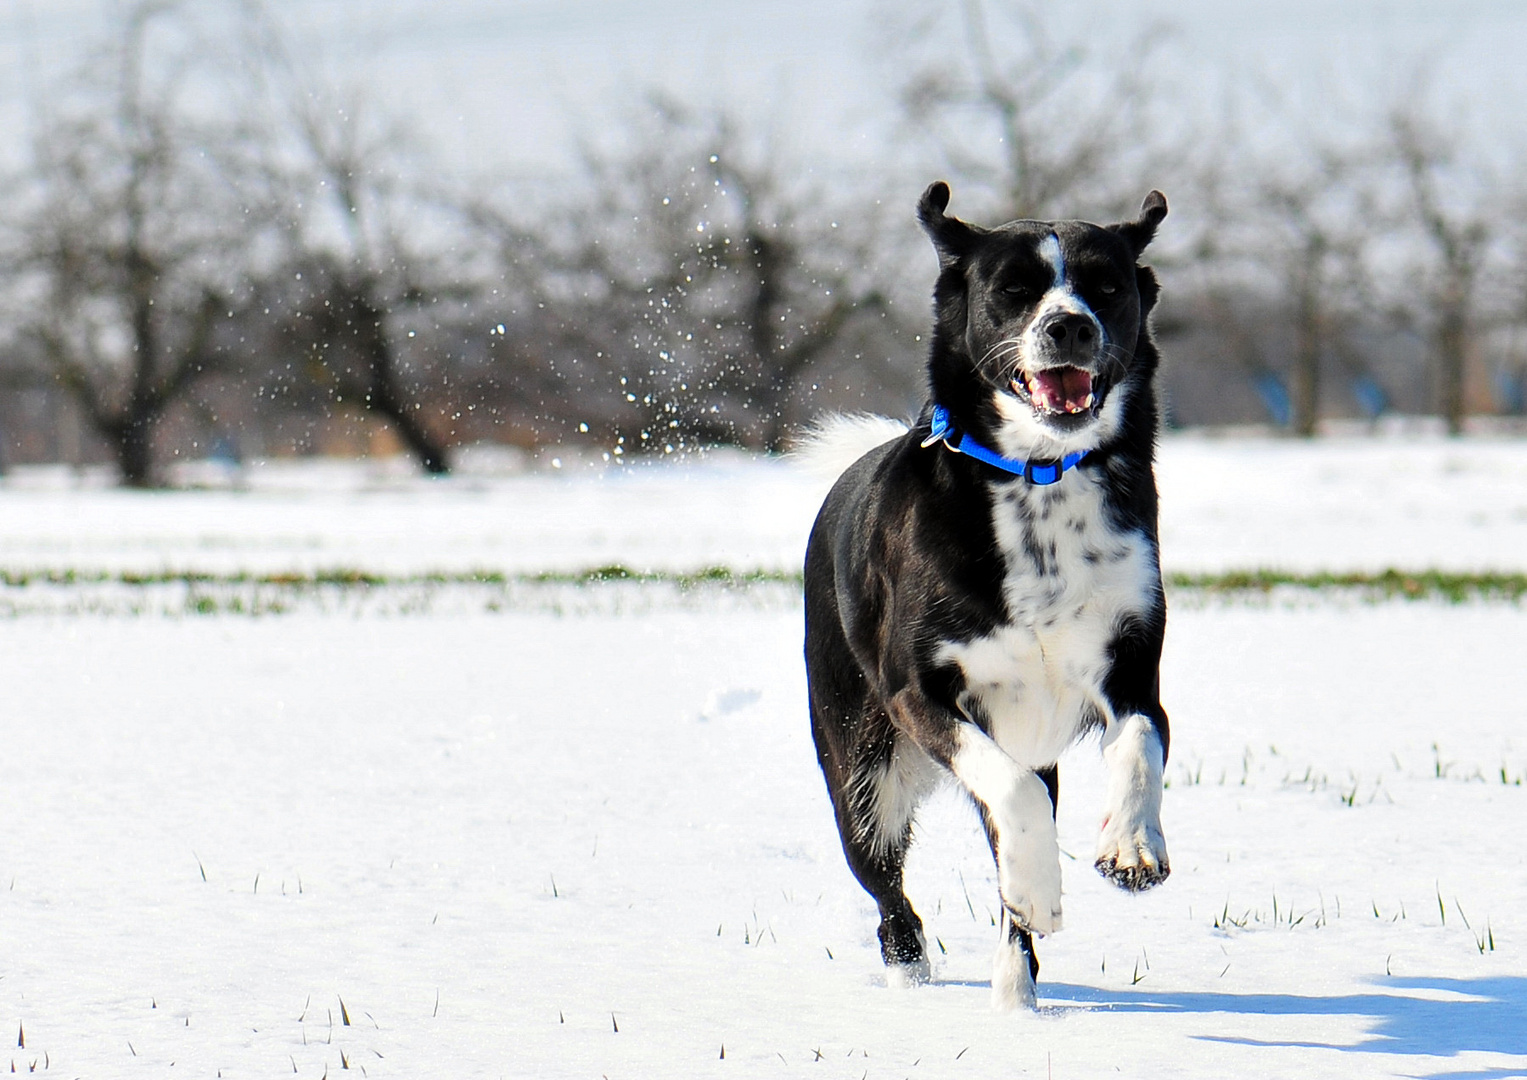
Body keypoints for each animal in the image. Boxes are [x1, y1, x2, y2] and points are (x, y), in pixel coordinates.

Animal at [806, 181, 1172, 1008]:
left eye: (1106, 285)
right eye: (1012, 290)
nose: (1069, 325)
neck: (1038, 476)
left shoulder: (1130, 669)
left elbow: (1140, 746)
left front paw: (1130, 848)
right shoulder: (920, 692)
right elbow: (1013, 795)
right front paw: (1039, 890)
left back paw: (1017, 999)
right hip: (859, 770)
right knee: (888, 893)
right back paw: (913, 976)